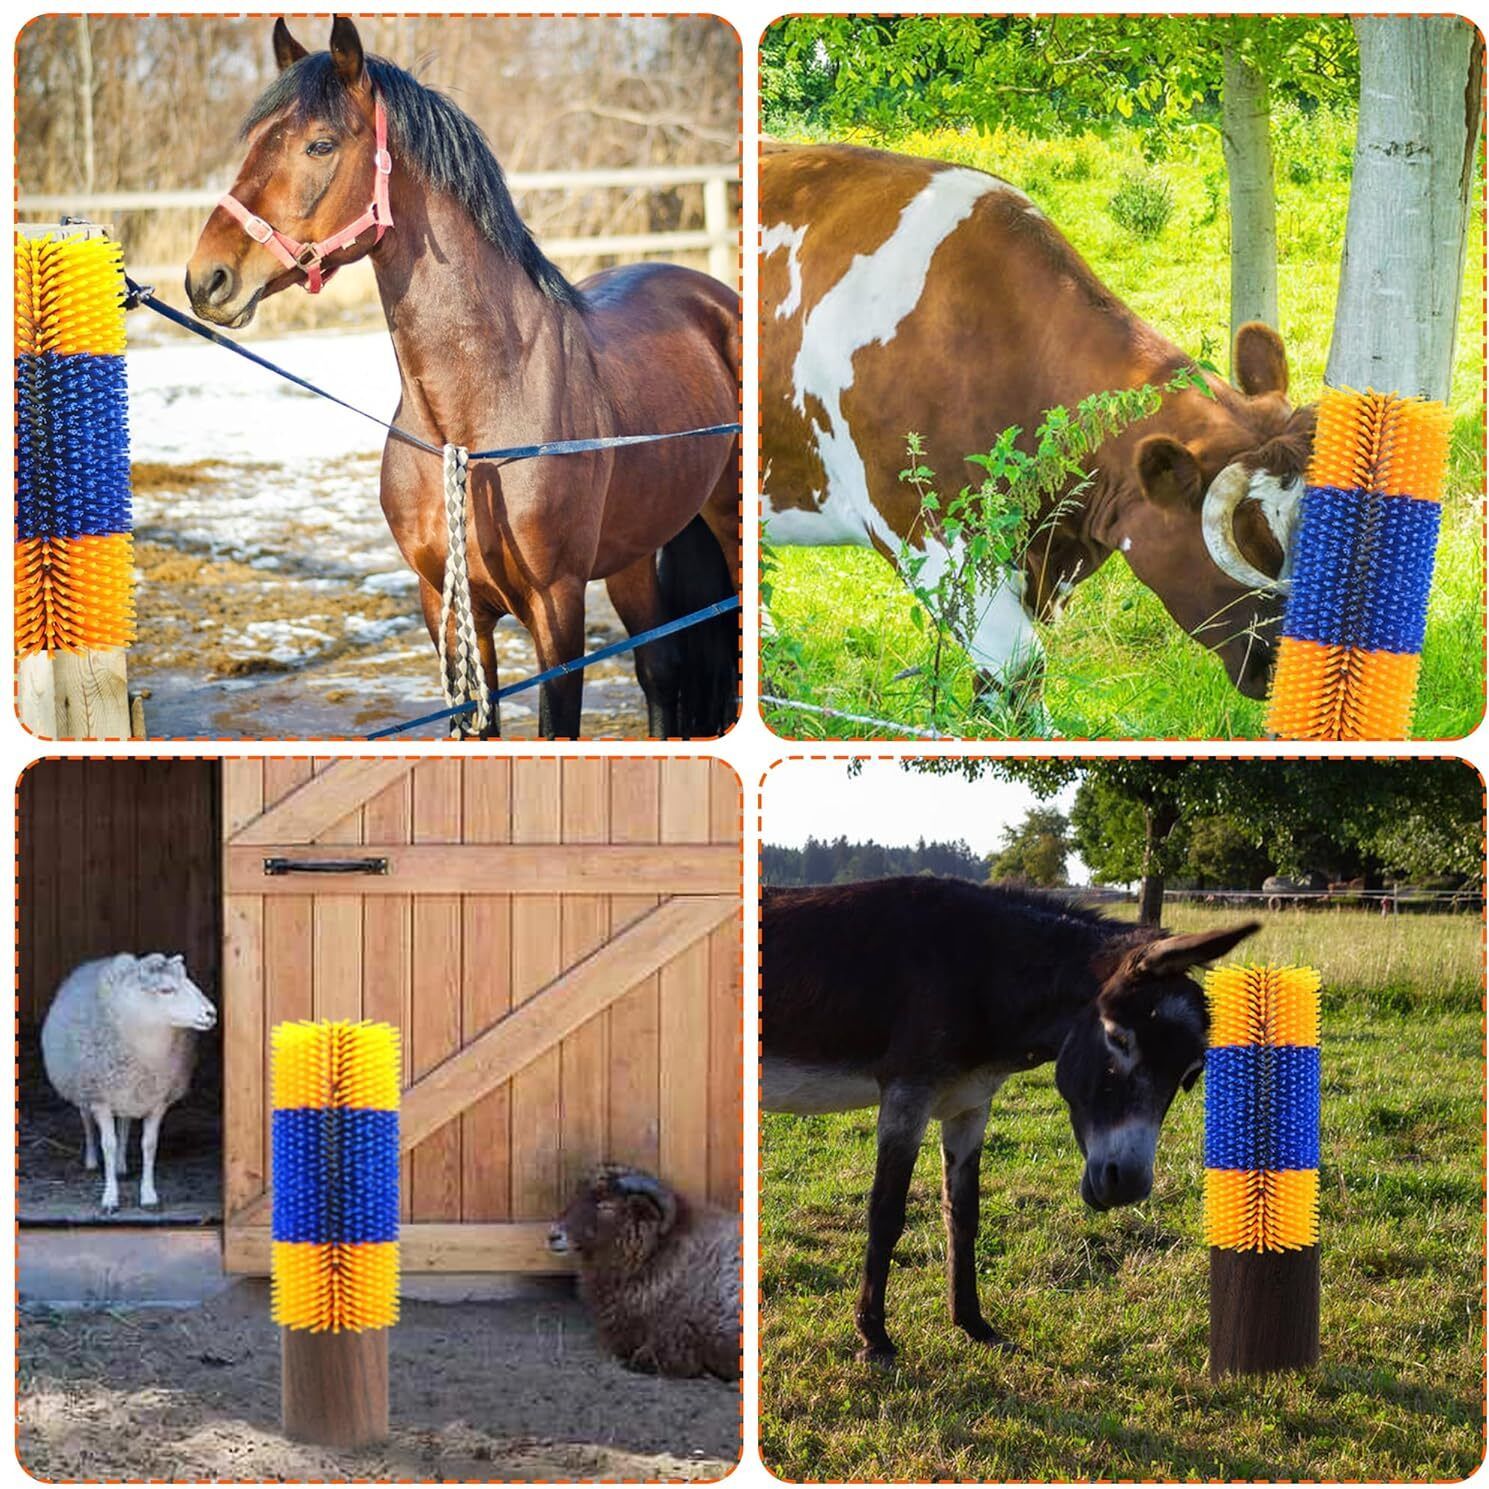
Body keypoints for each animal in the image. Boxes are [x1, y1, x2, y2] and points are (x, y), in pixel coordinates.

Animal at [186, 16, 739, 738]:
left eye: (320, 144)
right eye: (253, 142)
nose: (207, 279)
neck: (471, 423)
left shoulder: (557, 610)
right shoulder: (448, 609)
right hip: (635, 551)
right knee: (660, 670)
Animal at [761, 876, 1258, 1363]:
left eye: (1191, 1075)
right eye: (1118, 1038)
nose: (1127, 1187)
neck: (984, 970)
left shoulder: (969, 1105)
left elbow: (963, 1214)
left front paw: (972, 1324)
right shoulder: (907, 1094)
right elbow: (886, 1213)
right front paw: (874, 1336)